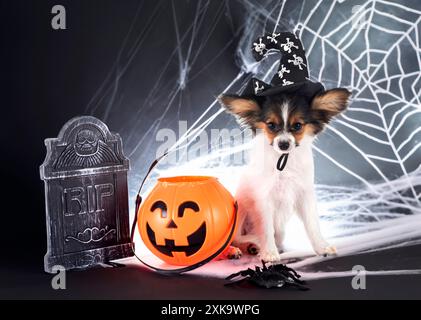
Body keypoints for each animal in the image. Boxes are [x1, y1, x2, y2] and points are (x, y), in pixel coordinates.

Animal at [218, 88, 350, 262]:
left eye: (298, 125)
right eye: (271, 125)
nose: (283, 144)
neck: (284, 162)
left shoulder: (304, 193)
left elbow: (312, 224)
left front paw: (322, 247)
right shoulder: (263, 199)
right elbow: (266, 229)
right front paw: (269, 253)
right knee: (239, 238)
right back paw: (251, 245)